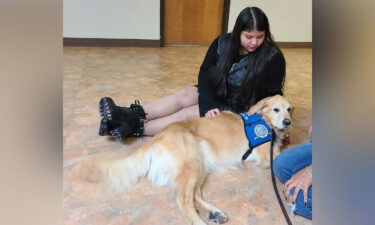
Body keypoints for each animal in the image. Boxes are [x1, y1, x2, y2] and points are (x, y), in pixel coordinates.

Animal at [74, 95, 294, 225]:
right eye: (276, 109)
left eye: (289, 109)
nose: (287, 122)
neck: (265, 121)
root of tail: (159, 136)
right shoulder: (267, 157)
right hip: (191, 163)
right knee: (183, 199)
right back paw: (201, 221)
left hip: (199, 164)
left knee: (194, 195)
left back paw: (214, 213)